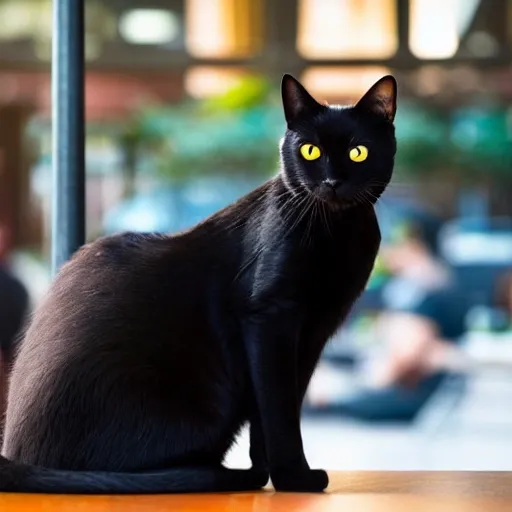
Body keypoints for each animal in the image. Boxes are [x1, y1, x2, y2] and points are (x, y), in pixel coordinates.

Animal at [0, 72, 396, 492]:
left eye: (358, 152)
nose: (332, 181)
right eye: (309, 151)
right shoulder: (269, 319)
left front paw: (279, 475)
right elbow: (278, 410)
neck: (338, 231)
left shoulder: (311, 334)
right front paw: (295, 478)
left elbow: (274, 410)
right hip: (207, 407)